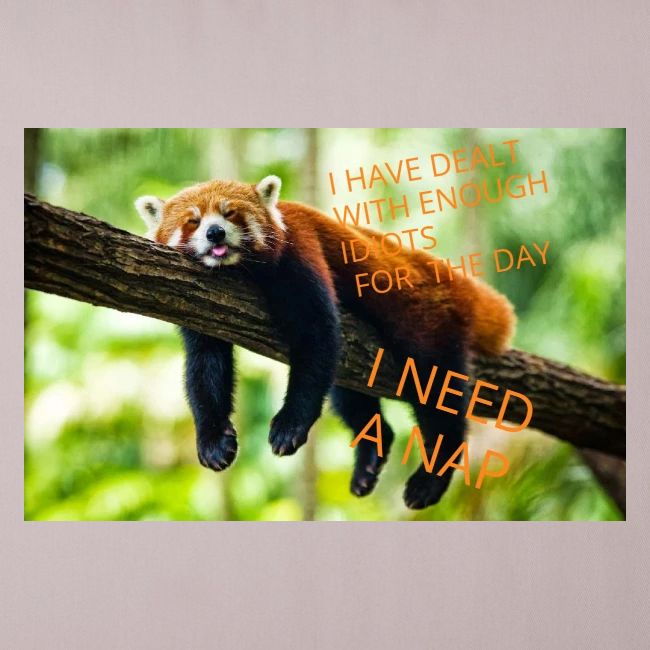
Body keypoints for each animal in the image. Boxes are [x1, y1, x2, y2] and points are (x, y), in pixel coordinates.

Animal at [136, 175, 515, 509]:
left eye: (230, 214)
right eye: (193, 221)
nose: (215, 232)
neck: (238, 270)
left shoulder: (300, 252)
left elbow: (316, 336)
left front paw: (290, 425)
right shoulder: (200, 304)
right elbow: (205, 366)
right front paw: (213, 440)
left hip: (427, 321)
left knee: (436, 391)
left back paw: (431, 477)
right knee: (348, 394)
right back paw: (370, 457)